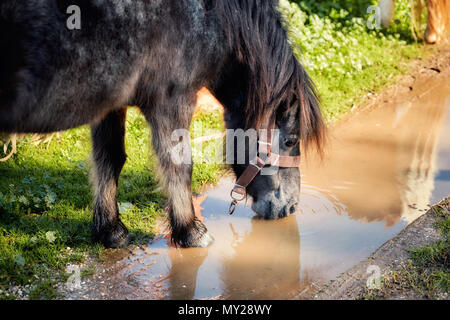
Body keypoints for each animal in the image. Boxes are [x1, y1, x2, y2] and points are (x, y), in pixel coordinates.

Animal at [0, 0, 324, 248]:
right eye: (291, 140)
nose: (290, 207)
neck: (212, 16)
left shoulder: (110, 104)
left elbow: (109, 159)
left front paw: (110, 230)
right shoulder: (173, 101)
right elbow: (179, 165)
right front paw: (191, 231)